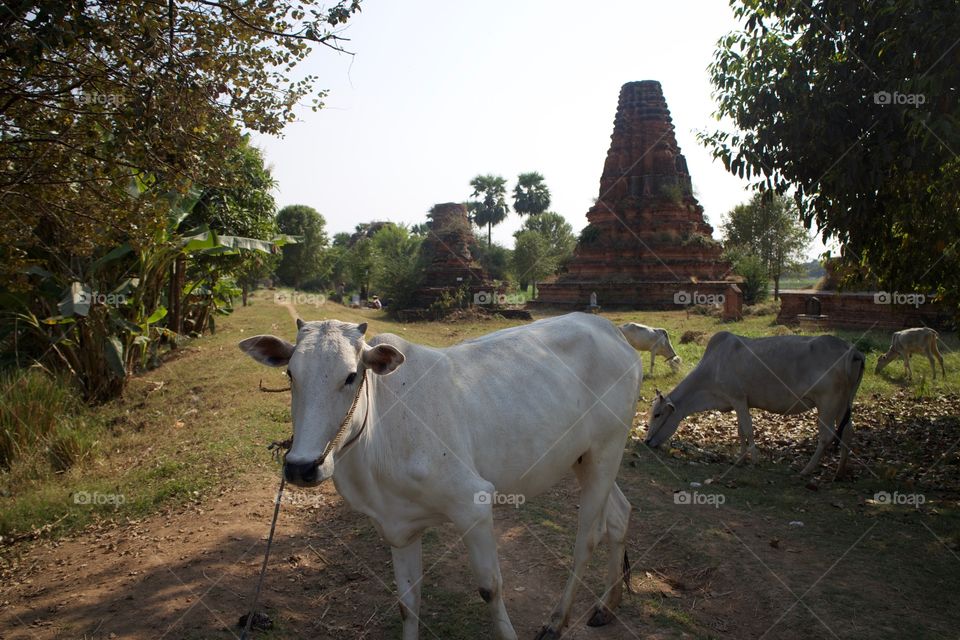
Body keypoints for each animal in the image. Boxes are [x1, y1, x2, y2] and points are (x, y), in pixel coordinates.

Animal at [240, 314, 644, 640]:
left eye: (351, 376)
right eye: (291, 373)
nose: (301, 466)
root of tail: (611, 328)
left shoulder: (474, 504)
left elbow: (490, 588)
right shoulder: (398, 527)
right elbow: (408, 602)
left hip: (608, 449)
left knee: (587, 538)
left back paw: (556, 622)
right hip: (585, 457)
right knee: (619, 516)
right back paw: (607, 606)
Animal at [644, 332, 864, 478]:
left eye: (657, 414)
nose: (646, 442)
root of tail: (852, 350)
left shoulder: (738, 398)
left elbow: (748, 430)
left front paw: (755, 461)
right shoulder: (739, 403)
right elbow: (740, 431)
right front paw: (740, 460)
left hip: (828, 402)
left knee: (827, 437)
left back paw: (806, 470)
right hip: (844, 403)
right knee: (848, 432)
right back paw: (839, 472)